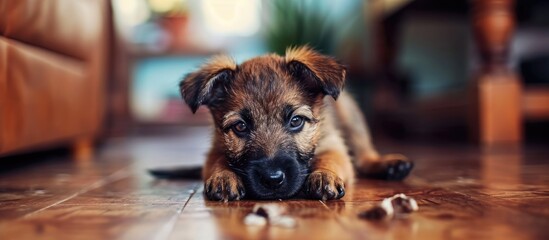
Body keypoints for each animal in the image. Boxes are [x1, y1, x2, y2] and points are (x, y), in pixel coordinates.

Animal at [176, 46, 412, 201]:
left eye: (296, 121)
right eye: (240, 127)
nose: (272, 180)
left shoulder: (333, 144)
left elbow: (330, 158)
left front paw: (324, 174)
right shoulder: (215, 149)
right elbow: (218, 161)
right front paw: (223, 177)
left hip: (349, 112)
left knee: (363, 156)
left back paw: (387, 164)